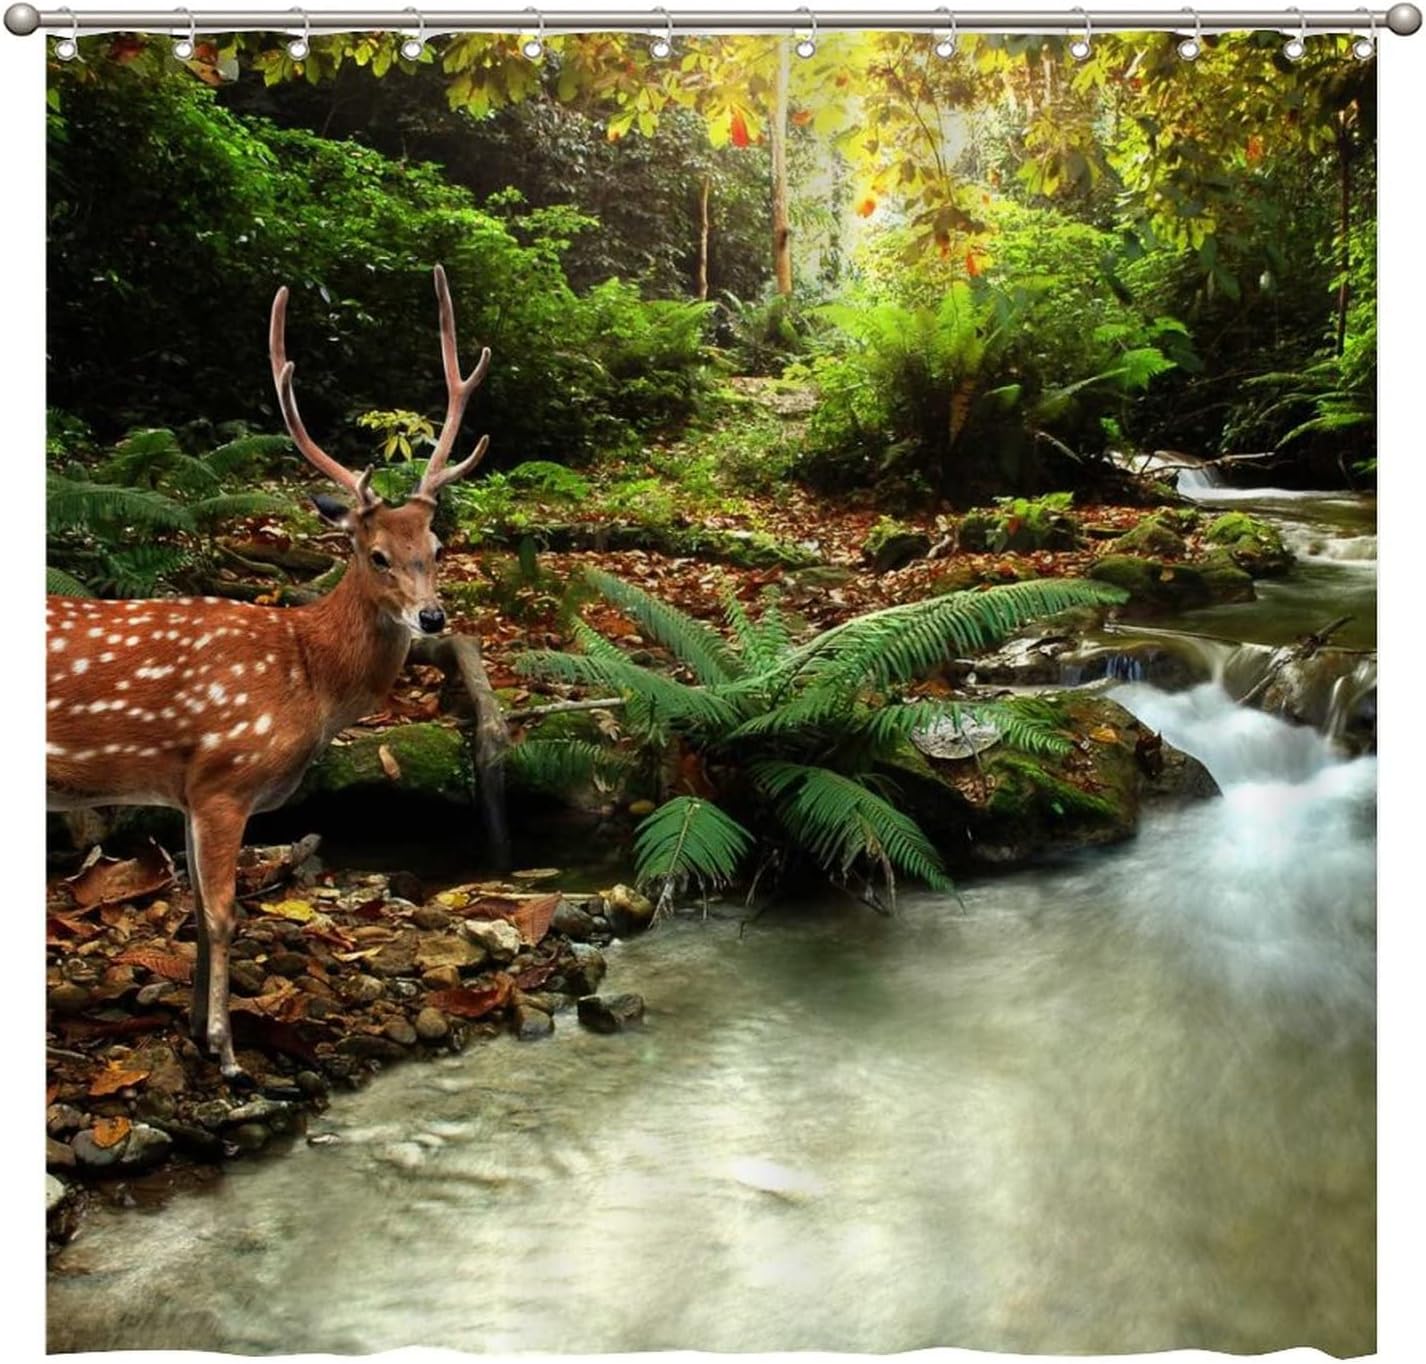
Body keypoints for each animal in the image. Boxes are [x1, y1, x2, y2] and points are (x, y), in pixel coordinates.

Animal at [46, 265, 490, 1080]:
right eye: (375, 554)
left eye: (437, 546)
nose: (432, 619)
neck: (305, 675)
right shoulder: (225, 775)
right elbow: (224, 914)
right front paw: (226, 1052)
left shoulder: (186, 791)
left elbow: (196, 908)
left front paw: (197, 1027)